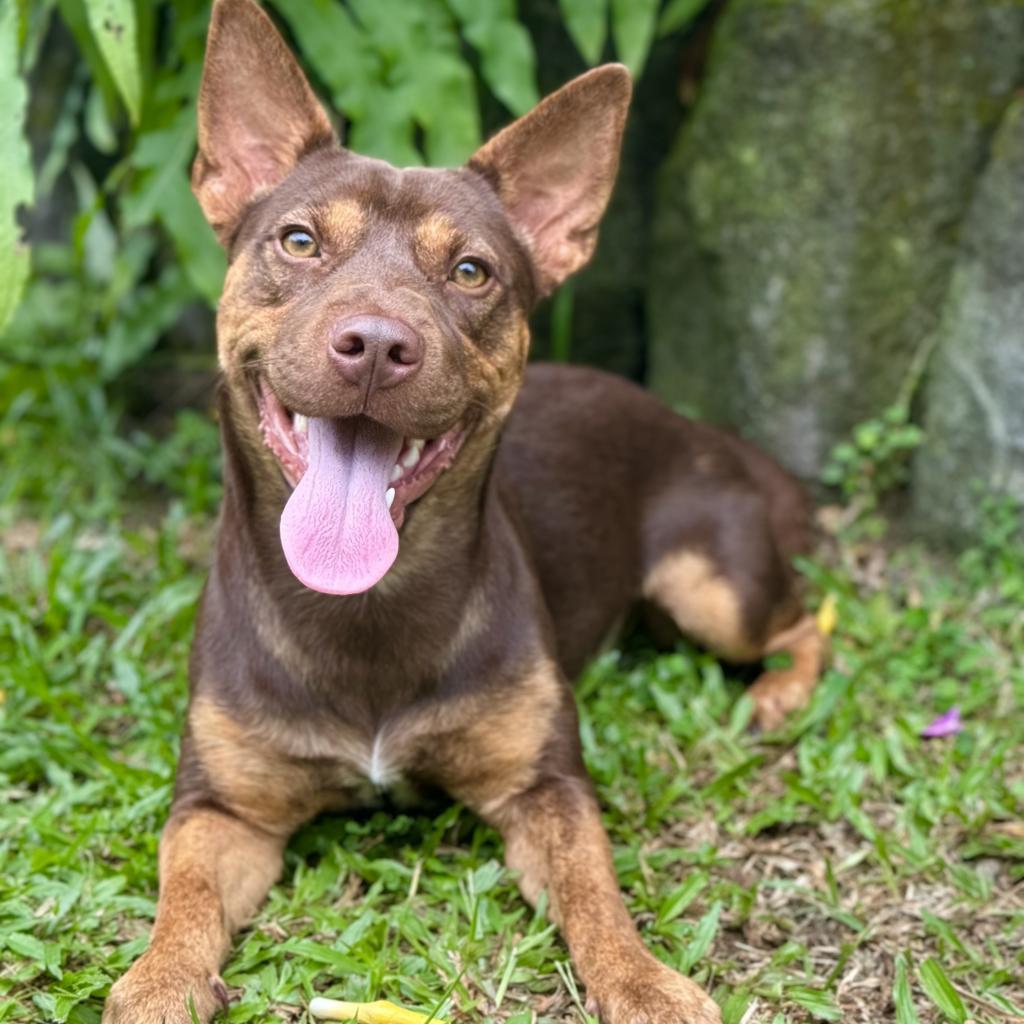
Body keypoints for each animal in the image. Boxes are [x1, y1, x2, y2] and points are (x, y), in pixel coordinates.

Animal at [103, 2, 823, 1024]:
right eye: (298, 242)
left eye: (474, 271)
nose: (375, 345)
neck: (367, 605)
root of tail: (694, 423)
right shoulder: (221, 808)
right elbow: (185, 895)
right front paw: (160, 979)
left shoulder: (545, 786)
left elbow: (597, 894)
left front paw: (643, 982)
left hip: (715, 591)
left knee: (806, 620)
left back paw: (777, 693)